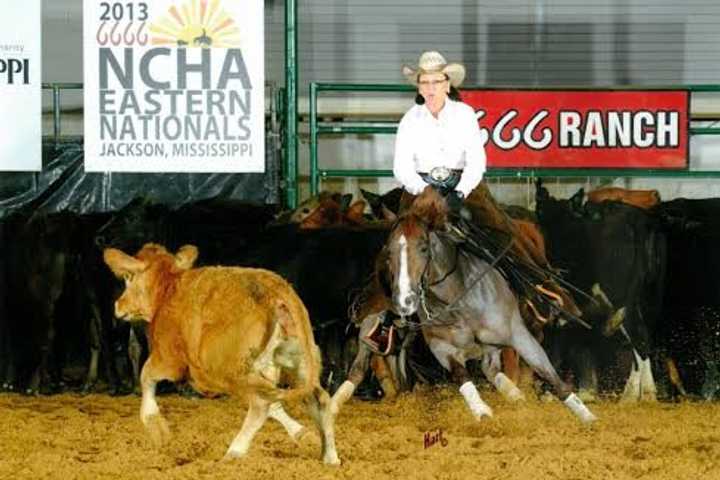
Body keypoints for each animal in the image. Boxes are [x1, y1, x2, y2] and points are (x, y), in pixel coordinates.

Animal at [330, 188, 596, 424]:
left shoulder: (518, 335)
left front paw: (588, 417)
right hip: (369, 329)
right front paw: (482, 411)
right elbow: (461, 375)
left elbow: (551, 376)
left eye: (424, 247)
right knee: (359, 366)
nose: (404, 299)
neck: (458, 299)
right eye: (389, 250)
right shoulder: (442, 347)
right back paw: (333, 403)